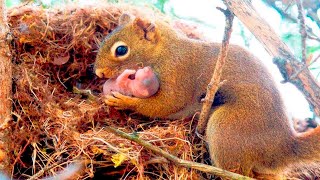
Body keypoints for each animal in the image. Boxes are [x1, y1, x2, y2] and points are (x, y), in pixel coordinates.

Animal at [94, 13, 320, 179]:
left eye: (121, 50)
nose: (98, 73)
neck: (165, 52)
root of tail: (284, 147)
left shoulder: (179, 74)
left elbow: (166, 104)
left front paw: (123, 101)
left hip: (226, 127)